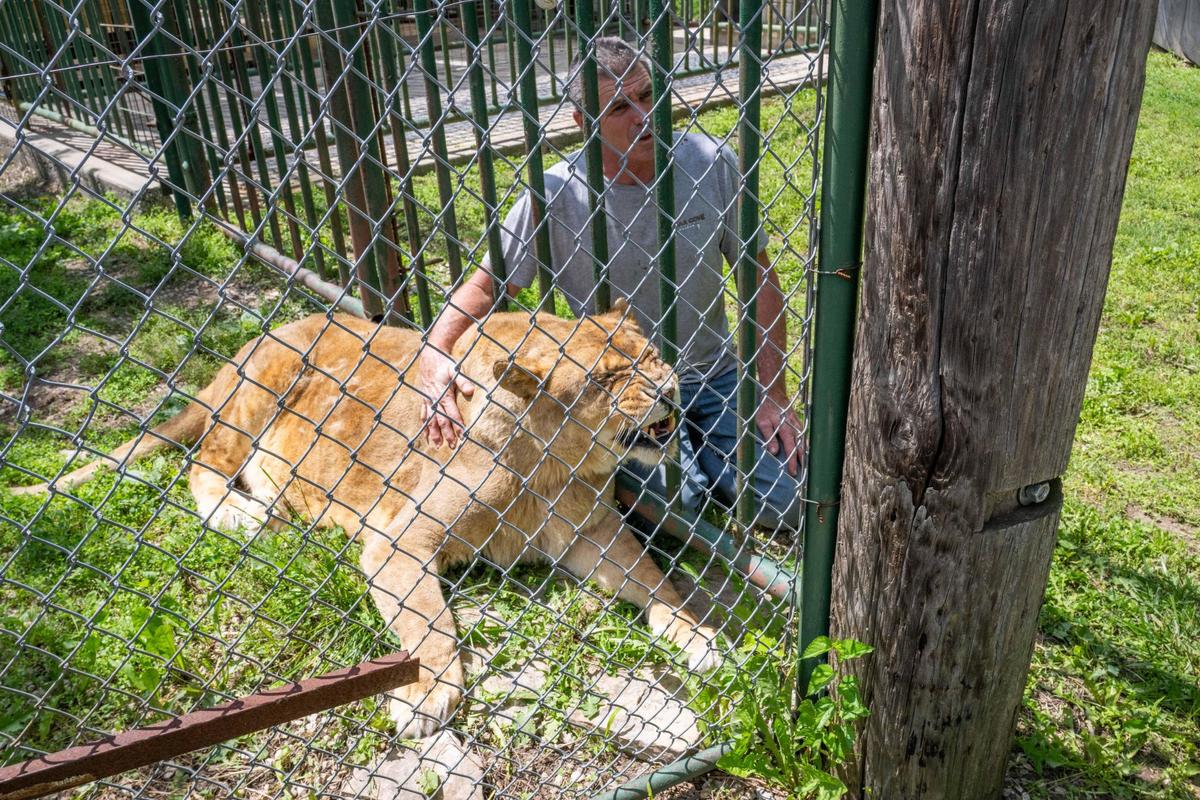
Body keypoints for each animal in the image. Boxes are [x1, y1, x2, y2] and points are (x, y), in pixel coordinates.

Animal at [17, 302, 721, 737]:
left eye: (651, 355)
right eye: (611, 377)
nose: (669, 387)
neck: (553, 462)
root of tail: (249, 343)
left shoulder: (592, 535)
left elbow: (656, 582)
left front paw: (697, 637)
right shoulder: (398, 538)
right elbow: (429, 623)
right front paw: (427, 694)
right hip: (255, 398)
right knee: (202, 462)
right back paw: (244, 514)